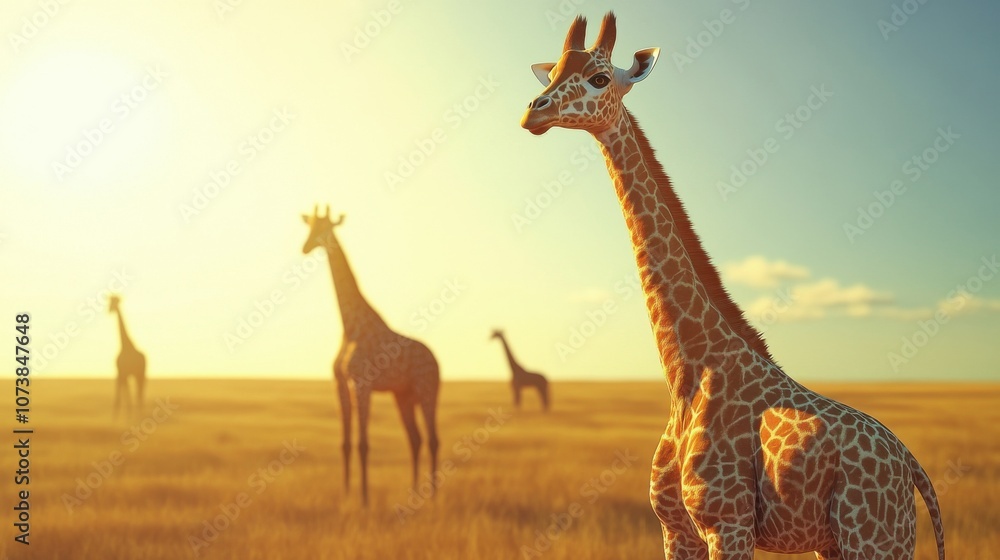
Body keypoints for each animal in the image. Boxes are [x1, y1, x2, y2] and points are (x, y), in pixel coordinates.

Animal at [301, 206, 440, 506]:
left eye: (325, 228)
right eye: (310, 226)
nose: (305, 247)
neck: (349, 326)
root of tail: (436, 361)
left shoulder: (362, 384)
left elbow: (364, 444)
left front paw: (364, 500)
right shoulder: (341, 384)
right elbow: (345, 443)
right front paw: (346, 494)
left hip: (427, 391)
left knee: (433, 439)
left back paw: (434, 497)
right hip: (404, 396)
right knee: (415, 439)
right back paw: (413, 492)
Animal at [520, 13, 945, 560]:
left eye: (598, 77)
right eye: (552, 72)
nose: (535, 112)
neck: (687, 373)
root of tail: (912, 466)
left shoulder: (728, 524)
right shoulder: (675, 529)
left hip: (873, 539)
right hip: (837, 542)